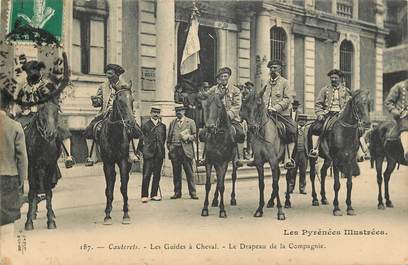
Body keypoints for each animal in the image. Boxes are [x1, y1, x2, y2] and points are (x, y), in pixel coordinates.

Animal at [97, 82, 139, 223]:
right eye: (119, 101)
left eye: (132, 100)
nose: (131, 122)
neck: (114, 134)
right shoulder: (108, 163)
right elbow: (110, 188)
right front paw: (107, 215)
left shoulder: (123, 161)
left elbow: (124, 187)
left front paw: (126, 214)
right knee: (111, 182)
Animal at [241, 86, 286, 219]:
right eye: (246, 106)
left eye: (259, 104)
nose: (252, 128)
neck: (263, 133)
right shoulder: (260, 162)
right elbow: (261, 184)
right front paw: (259, 209)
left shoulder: (273, 161)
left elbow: (275, 184)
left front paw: (280, 211)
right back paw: (271, 201)